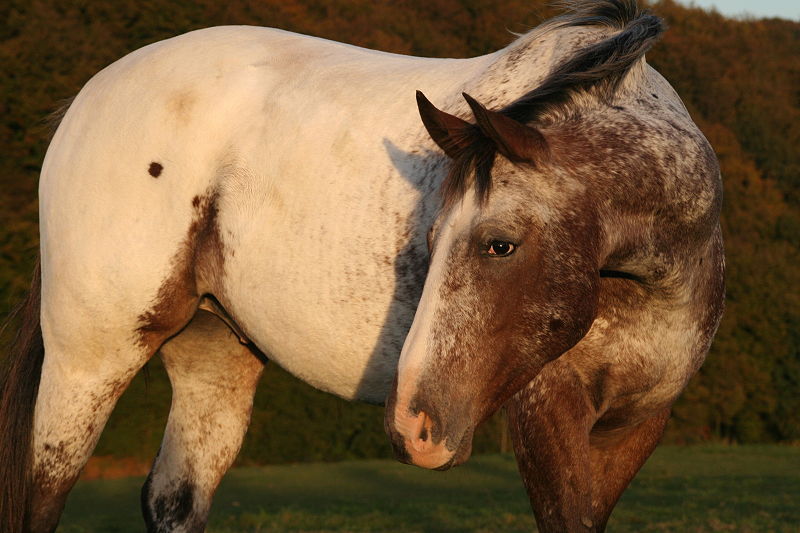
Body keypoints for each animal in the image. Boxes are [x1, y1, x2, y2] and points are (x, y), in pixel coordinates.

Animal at [1, 1, 724, 528]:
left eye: (500, 244)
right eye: (432, 237)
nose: (413, 425)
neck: (645, 283)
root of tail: (87, 98)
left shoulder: (636, 424)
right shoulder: (547, 415)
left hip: (213, 357)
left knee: (173, 499)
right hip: (89, 360)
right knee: (41, 493)